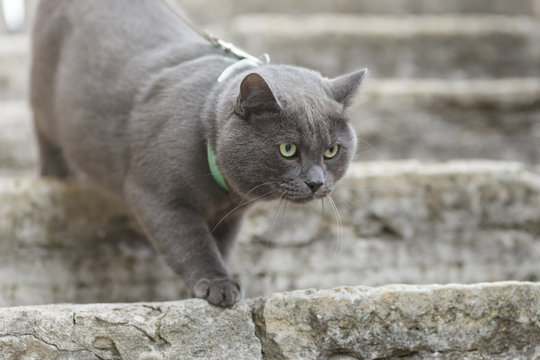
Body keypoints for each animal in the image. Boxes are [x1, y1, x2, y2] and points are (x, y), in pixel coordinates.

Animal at [30, 0, 368, 306]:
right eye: (288, 149)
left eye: (331, 151)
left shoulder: (232, 217)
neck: (223, 192)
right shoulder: (158, 196)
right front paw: (219, 286)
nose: (315, 182)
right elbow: (191, 244)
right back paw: (56, 173)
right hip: (44, 100)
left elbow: (220, 246)